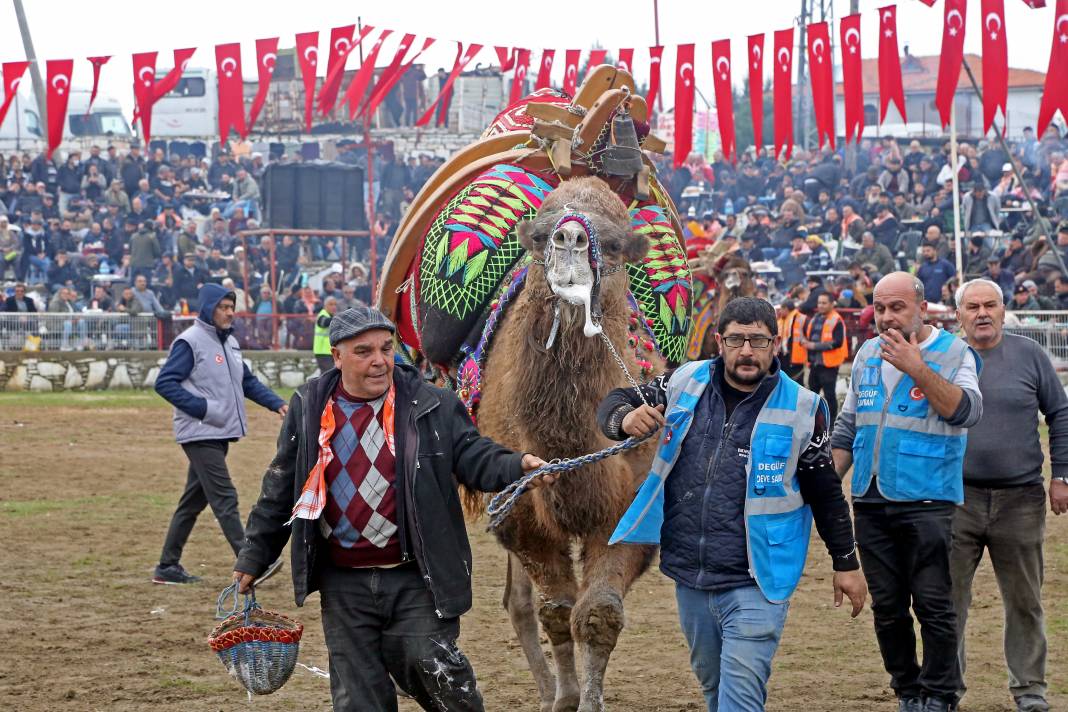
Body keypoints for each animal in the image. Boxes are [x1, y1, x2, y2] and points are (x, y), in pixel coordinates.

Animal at [478, 177, 662, 712]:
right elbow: (556, 612)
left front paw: (590, 699)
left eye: (615, 245)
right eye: (540, 237)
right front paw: (567, 696)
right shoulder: (521, 515)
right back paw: (548, 692)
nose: (571, 239)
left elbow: (597, 614)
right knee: (520, 603)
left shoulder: (633, 506)